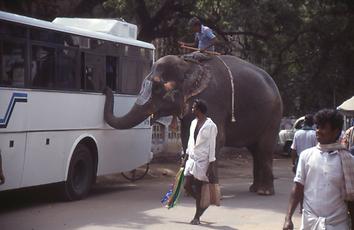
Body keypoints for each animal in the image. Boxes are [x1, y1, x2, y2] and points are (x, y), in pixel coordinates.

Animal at [104, 54, 282, 195]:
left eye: (158, 88)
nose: (107, 88)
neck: (188, 64)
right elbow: (187, 139)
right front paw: (191, 192)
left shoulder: (212, 101)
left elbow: (216, 139)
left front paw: (207, 191)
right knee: (255, 151)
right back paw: (254, 189)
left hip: (274, 115)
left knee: (264, 148)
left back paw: (264, 192)